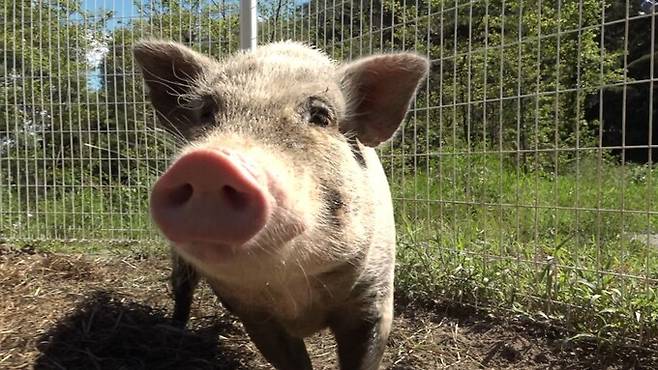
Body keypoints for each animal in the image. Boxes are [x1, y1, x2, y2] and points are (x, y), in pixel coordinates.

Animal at [133, 38, 430, 370]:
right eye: (207, 112)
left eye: (321, 116)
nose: (207, 163)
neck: (293, 292)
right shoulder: (256, 316)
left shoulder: (373, 297)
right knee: (182, 287)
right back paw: (174, 329)